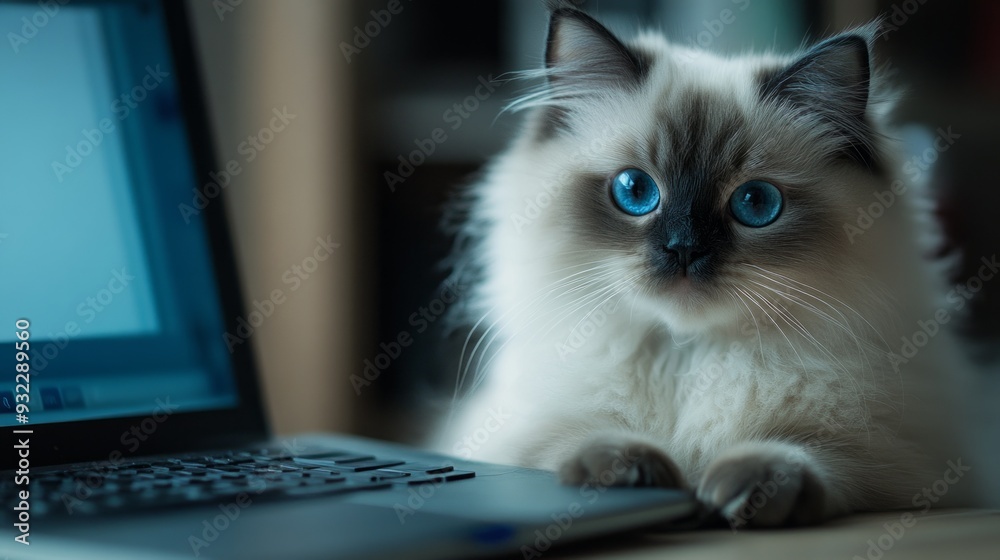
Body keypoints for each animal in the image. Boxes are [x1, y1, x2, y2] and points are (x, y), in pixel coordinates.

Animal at [430, 3, 976, 528]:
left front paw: (745, 488)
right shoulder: (513, 436)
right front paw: (630, 470)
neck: (689, 358)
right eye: (635, 191)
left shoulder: (906, 460)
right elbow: (571, 441)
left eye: (756, 203)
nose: (684, 249)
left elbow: (810, 453)